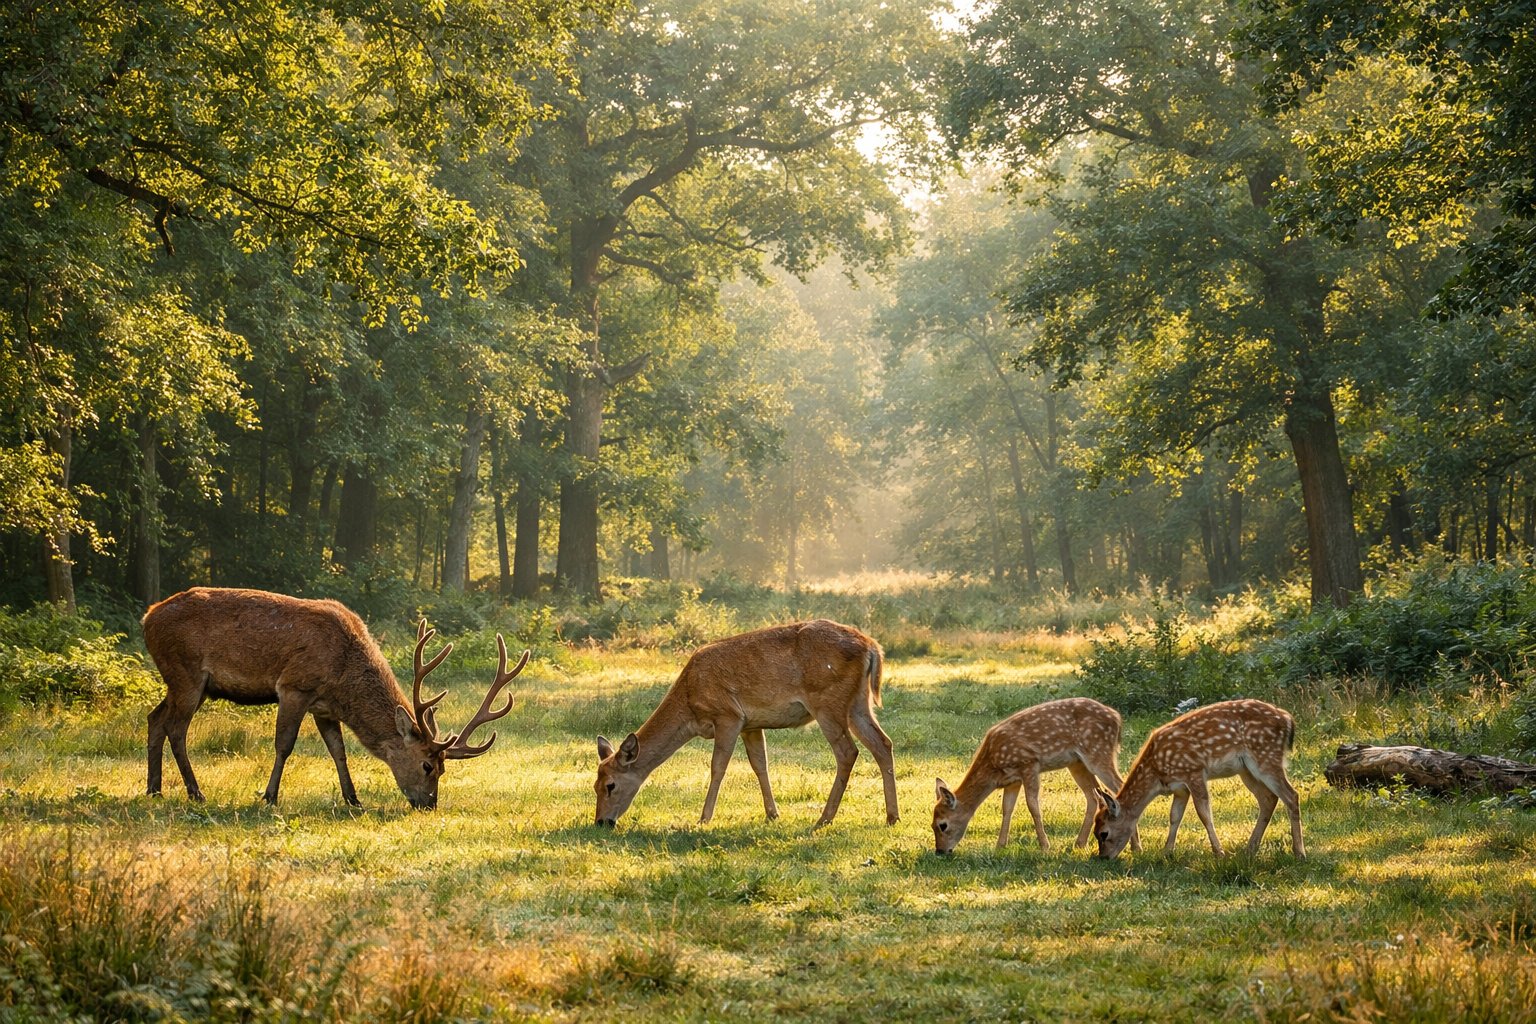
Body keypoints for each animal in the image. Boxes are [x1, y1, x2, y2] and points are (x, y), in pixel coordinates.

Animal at [141, 587, 530, 809]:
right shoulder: (295, 686)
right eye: (428, 766)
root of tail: (147, 617)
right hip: (186, 672)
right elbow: (284, 744)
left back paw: (154, 789)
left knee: (155, 718)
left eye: (444, 768)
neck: (344, 678)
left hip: (187, 682)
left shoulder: (324, 708)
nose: (429, 804)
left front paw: (353, 799)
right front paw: (269, 797)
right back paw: (195, 792)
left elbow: (338, 751)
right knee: (176, 728)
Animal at [593, 619, 896, 828]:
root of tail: (872, 647)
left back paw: (824, 818)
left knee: (848, 751)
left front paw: (704, 818)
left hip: (828, 701)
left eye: (610, 785)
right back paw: (892, 816)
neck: (689, 706)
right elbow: (760, 764)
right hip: (858, 703)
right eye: (594, 786)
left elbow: (718, 766)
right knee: (883, 743)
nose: (601, 822)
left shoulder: (728, 715)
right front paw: (772, 813)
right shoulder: (751, 724)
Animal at [932, 697, 1139, 855]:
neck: (992, 765)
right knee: (1093, 795)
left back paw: (1136, 847)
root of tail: (1117, 718)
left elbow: (1032, 805)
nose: (940, 851)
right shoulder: (1012, 779)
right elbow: (1007, 808)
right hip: (1077, 763)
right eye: (932, 825)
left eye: (943, 825)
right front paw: (1000, 846)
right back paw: (1079, 843)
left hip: (1098, 751)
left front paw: (1045, 846)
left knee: (1118, 786)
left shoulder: (1029, 764)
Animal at [1092, 698, 1306, 859]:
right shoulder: (1179, 787)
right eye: (1095, 832)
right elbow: (1174, 816)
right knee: (1268, 798)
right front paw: (1167, 852)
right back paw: (1250, 849)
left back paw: (1299, 853)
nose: (1104, 857)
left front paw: (1219, 853)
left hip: (1266, 756)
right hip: (1246, 770)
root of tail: (1288, 719)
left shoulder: (1194, 771)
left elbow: (1204, 813)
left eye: (1104, 833)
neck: (1156, 773)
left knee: (1291, 795)